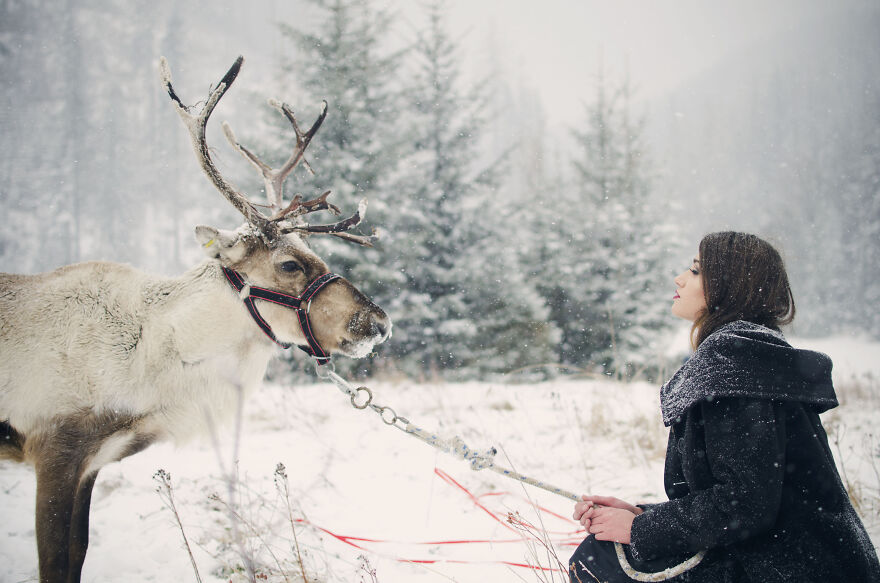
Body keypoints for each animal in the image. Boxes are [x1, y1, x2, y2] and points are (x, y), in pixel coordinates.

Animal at [0, 56, 391, 583]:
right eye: (290, 264)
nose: (378, 321)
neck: (147, 365)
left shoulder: (92, 464)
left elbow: (77, 555)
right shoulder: (53, 449)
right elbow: (55, 562)